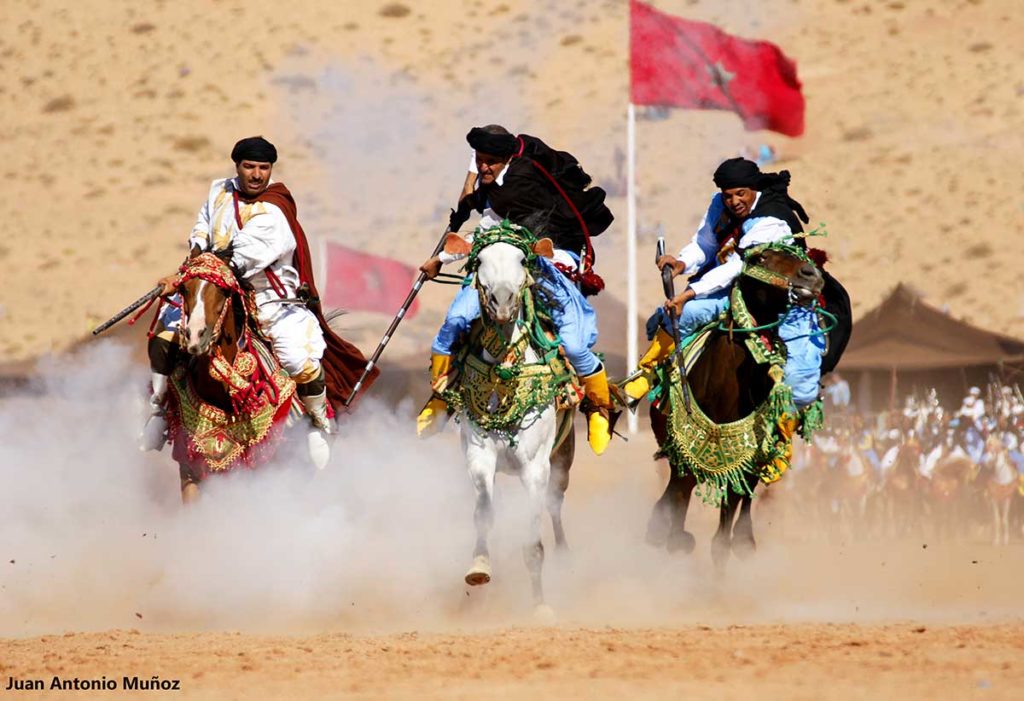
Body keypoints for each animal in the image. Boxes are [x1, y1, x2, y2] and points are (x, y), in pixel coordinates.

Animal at [440, 221, 581, 609]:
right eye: (480, 261)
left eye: (521, 259)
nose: (502, 302)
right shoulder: (479, 455)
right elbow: (484, 514)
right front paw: (479, 567)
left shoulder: (535, 467)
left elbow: (534, 543)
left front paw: (541, 606)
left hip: (561, 460)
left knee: (555, 506)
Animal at [647, 243, 823, 573]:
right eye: (761, 257)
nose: (812, 275)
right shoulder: (685, 454)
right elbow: (677, 503)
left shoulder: (743, 465)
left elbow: (722, 537)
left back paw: (744, 541)